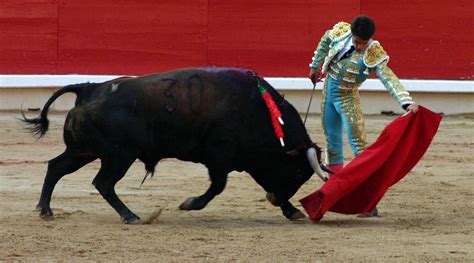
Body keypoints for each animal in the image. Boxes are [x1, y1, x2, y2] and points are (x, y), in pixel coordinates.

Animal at [23, 67, 330, 224]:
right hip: (119, 156)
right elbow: (217, 186)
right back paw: (131, 216)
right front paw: (190, 204)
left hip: (83, 151)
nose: (277, 200)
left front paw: (291, 210)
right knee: (103, 183)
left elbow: (258, 182)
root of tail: (89, 88)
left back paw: (45, 210)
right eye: (298, 172)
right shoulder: (221, 157)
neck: (257, 110)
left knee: (56, 167)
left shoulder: (249, 160)